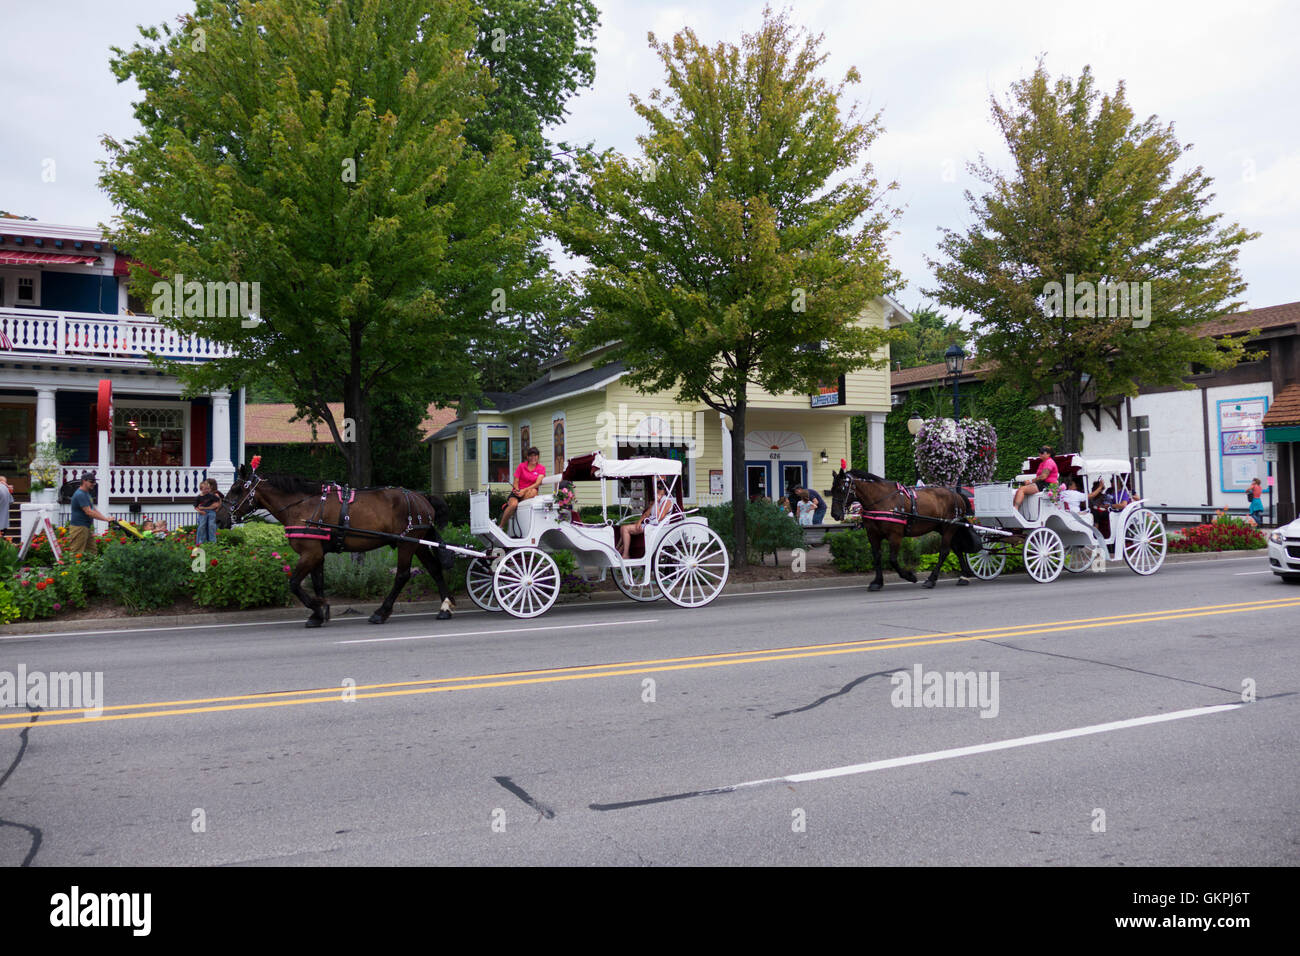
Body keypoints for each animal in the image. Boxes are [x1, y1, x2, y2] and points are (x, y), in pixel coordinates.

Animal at [218, 465, 452, 629]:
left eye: (236, 489)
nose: (220, 519)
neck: (303, 507)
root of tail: (422, 497)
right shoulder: (317, 553)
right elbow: (318, 583)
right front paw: (319, 612)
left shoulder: (310, 553)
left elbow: (294, 583)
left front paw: (317, 608)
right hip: (418, 544)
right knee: (434, 569)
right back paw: (445, 607)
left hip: (406, 543)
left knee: (402, 575)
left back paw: (381, 612)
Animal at [832, 465, 977, 590]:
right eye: (831, 490)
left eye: (841, 489)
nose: (835, 514)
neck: (882, 502)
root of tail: (956, 494)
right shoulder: (873, 534)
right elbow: (877, 557)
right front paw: (877, 582)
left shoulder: (895, 535)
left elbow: (892, 559)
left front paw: (910, 576)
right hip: (943, 528)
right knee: (957, 549)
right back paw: (964, 576)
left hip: (948, 528)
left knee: (944, 552)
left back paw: (931, 579)